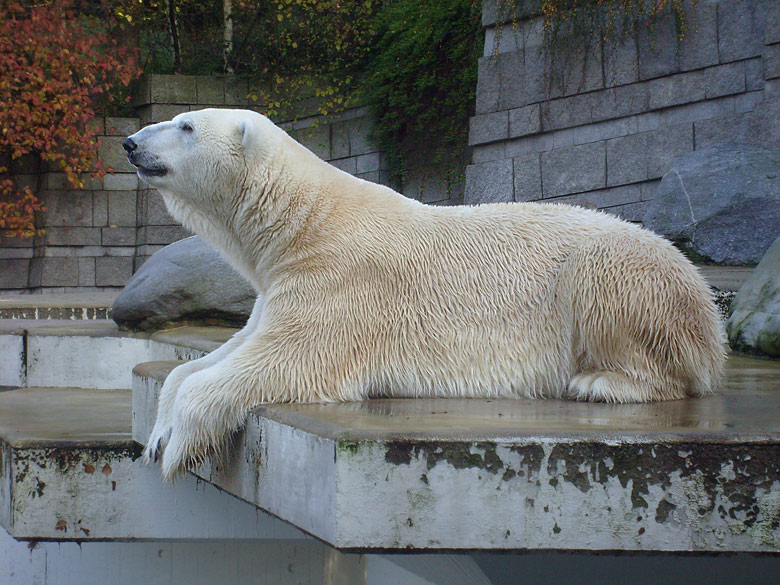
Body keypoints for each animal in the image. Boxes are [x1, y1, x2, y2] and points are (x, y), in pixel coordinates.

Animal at [123, 108, 727, 480]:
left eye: (185, 125)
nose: (130, 143)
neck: (303, 221)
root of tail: (708, 309)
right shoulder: (280, 283)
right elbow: (215, 356)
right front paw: (158, 431)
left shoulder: (341, 280)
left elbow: (287, 358)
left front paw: (177, 445)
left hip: (625, 272)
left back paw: (600, 382)